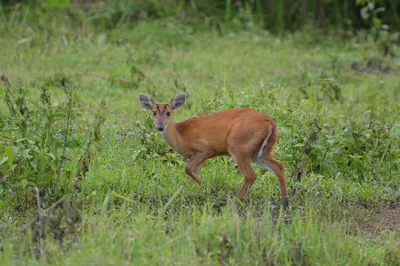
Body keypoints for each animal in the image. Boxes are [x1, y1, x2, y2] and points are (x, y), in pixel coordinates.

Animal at [139, 93, 290, 208]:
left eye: (169, 113)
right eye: (154, 113)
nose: (160, 127)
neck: (180, 135)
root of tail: (271, 123)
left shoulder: (205, 150)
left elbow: (187, 168)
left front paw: (207, 187)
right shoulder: (195, 156)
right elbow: (192, 173)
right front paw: (194, 192)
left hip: (238, 146)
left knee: (250, 175)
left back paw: (233, 201)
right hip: (260, 152)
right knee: (279, 166)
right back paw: (285, 201)